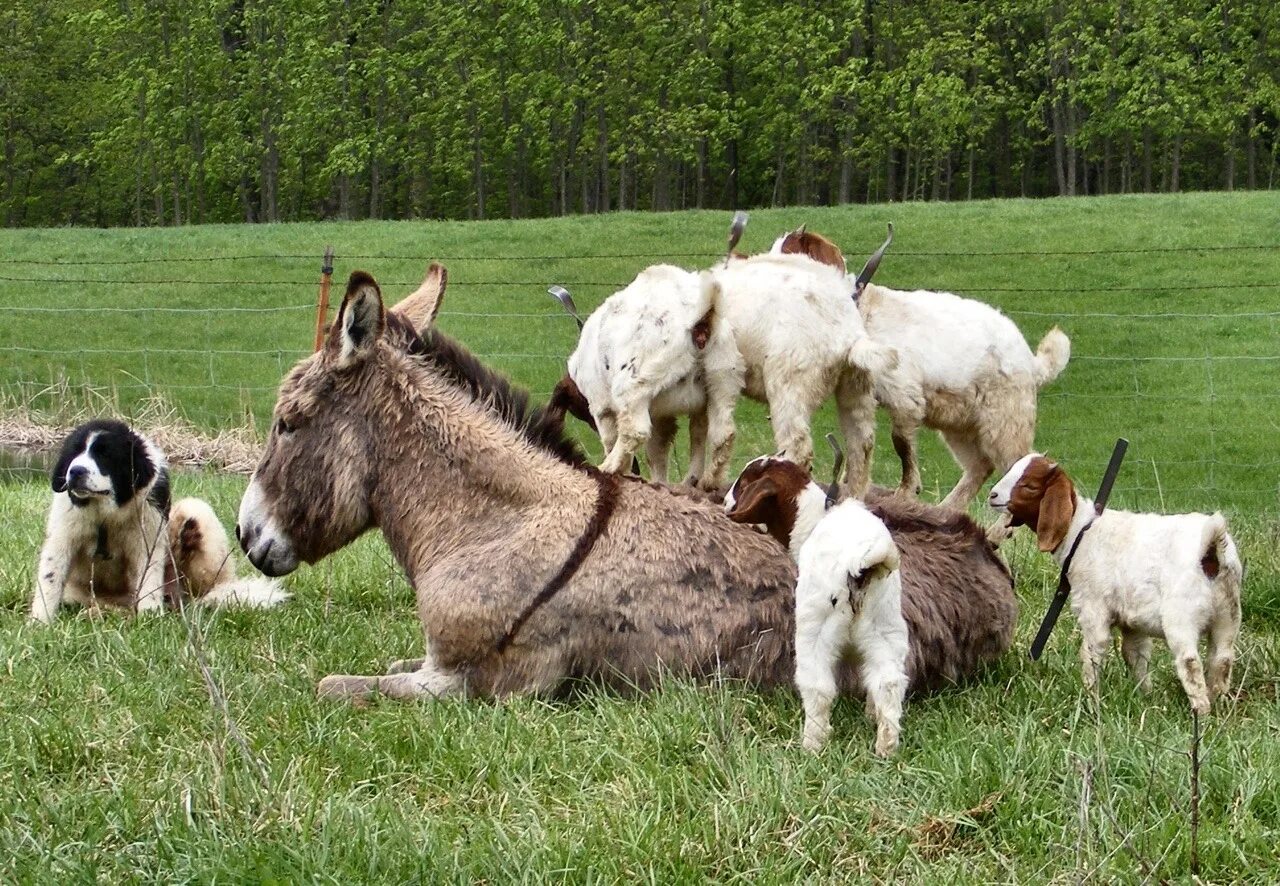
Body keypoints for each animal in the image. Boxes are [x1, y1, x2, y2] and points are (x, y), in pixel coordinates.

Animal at [31, 417, 288, 619]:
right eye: (74, 455)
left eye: (105, 457)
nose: (75, 471)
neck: (106, 513)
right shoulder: (64, 533)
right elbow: (51, 576)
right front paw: (40, 622)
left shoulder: (148, 531)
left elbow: (149, 574)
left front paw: (149, 614)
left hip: (198, 518)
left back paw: (189, 538)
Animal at [727, 453, 1013, 752]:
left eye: (743, 483)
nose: (724, 501)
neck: (813, 519)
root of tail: (860, 565)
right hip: (886, 626)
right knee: (888, 682)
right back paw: (885, 747)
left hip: (816, 627)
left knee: (818, 687)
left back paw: (812, 744)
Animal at [768, 225, 1070, 509]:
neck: (862, 311)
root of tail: (1032, 362)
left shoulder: (904, 392)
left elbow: (900, 441)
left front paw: (906, 491)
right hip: (959, 421)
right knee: (980, 466)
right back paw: (947, 509)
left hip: (1006, 418)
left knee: (1016, 464)